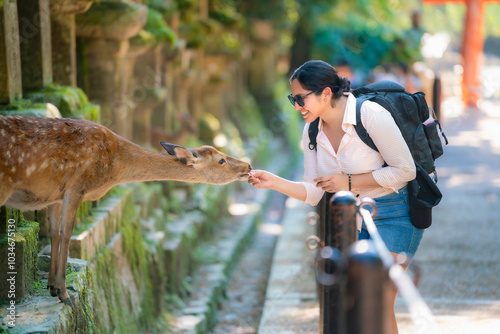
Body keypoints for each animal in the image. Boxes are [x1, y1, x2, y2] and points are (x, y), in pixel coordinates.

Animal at [0, 116, 252, 306]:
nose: (248, 165)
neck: (114, 168)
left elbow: (54, 232)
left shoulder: (56, 195)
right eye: (221, 160)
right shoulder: (76, 187)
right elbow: (67, 233)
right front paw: (64, 294)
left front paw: (52, 287)